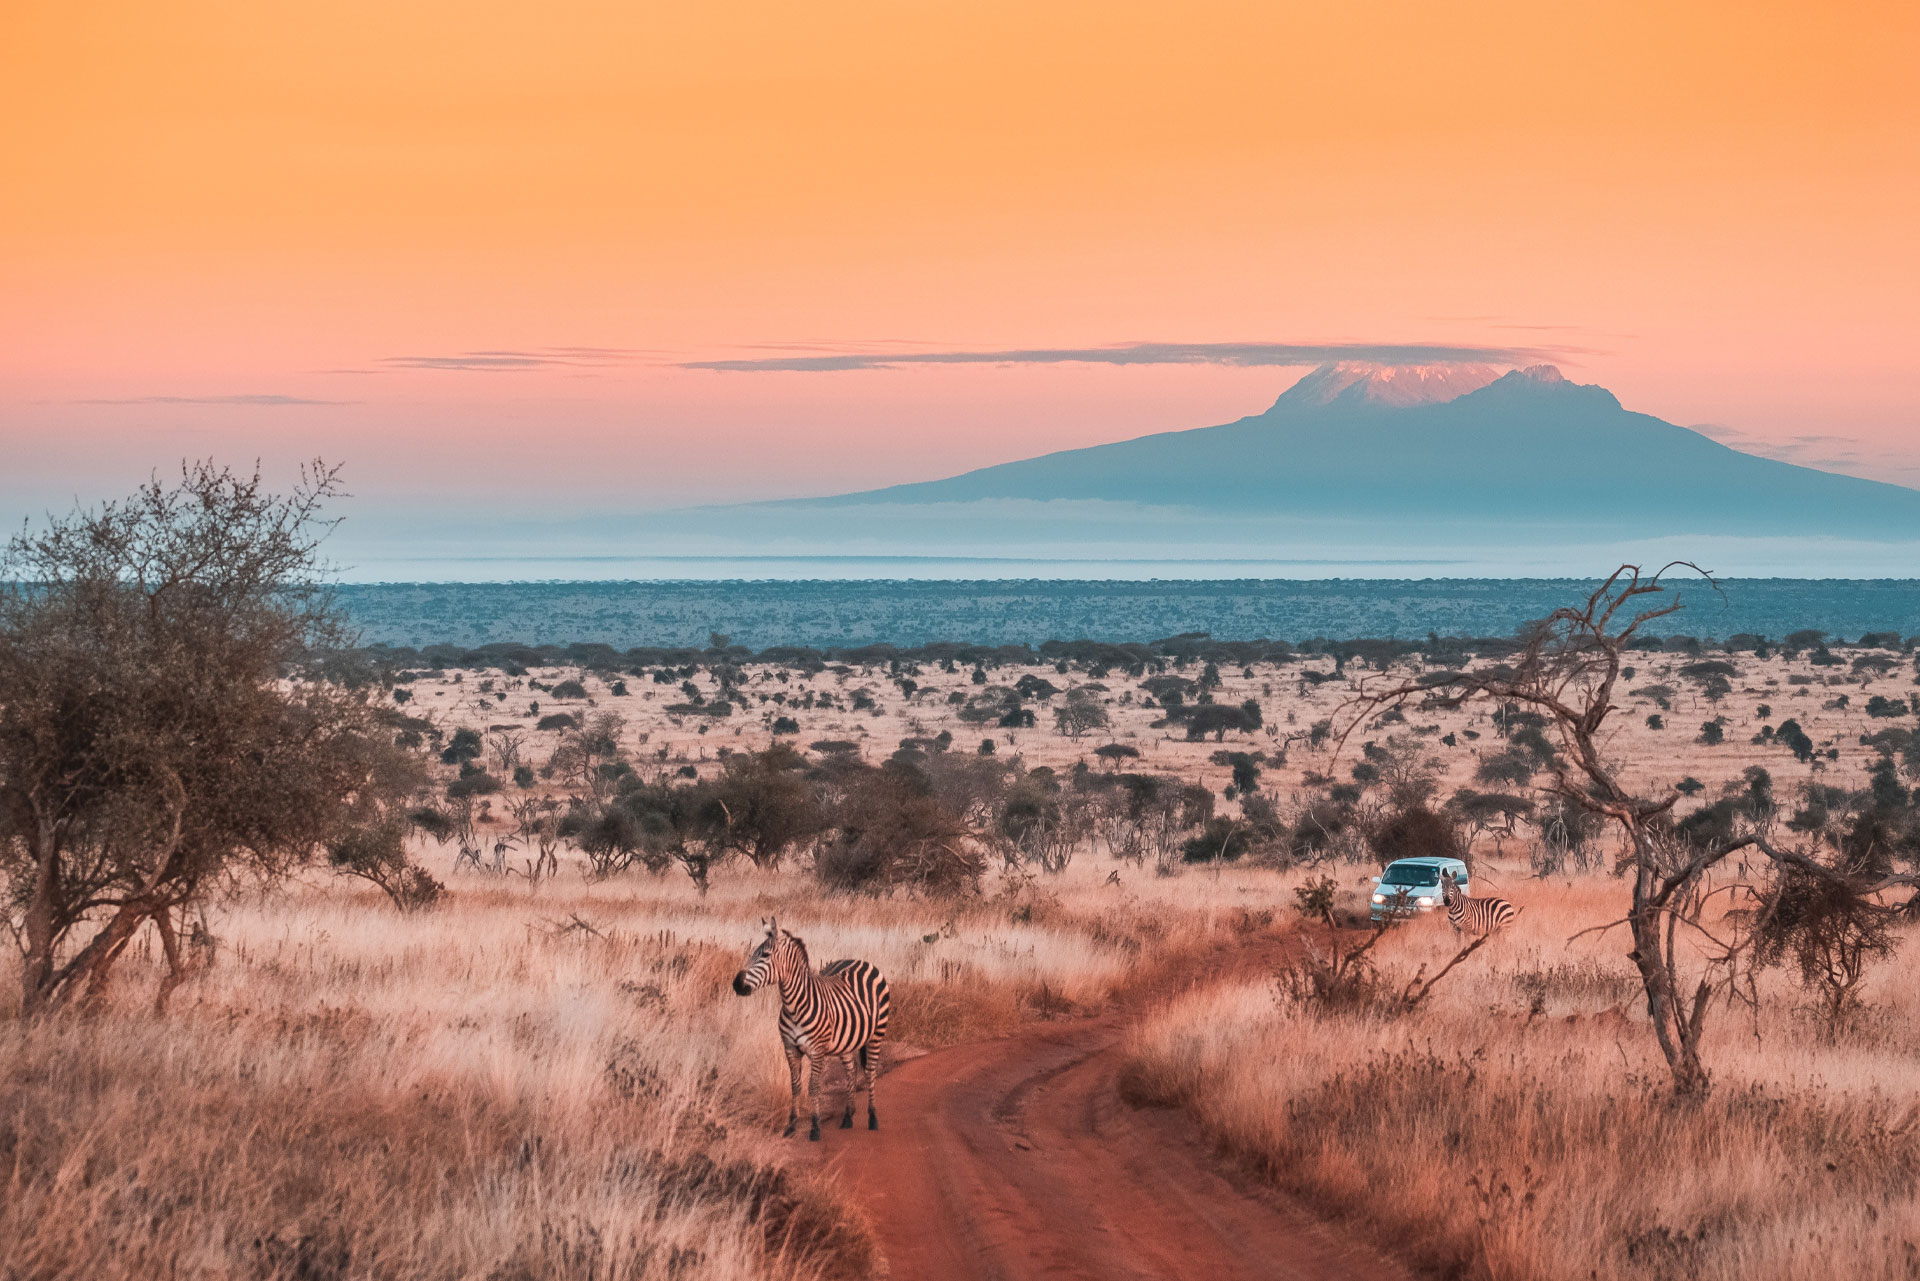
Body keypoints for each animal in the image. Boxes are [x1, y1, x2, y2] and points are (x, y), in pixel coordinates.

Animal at [729, 921, 887, 1144]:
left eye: (765, 955)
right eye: (753, 954)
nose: (737, 984)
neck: (793, 1005)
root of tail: (861, 961)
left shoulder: (817, 1050)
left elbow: (814, 1087)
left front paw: (815, 1128)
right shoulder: (790, 1048)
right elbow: (795, 1086)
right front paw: (791, 1126)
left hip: (876, 1034)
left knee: (870, 1071)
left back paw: (872, 1118)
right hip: (846, 1041)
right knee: (851, 1069)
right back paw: (848, 1117)